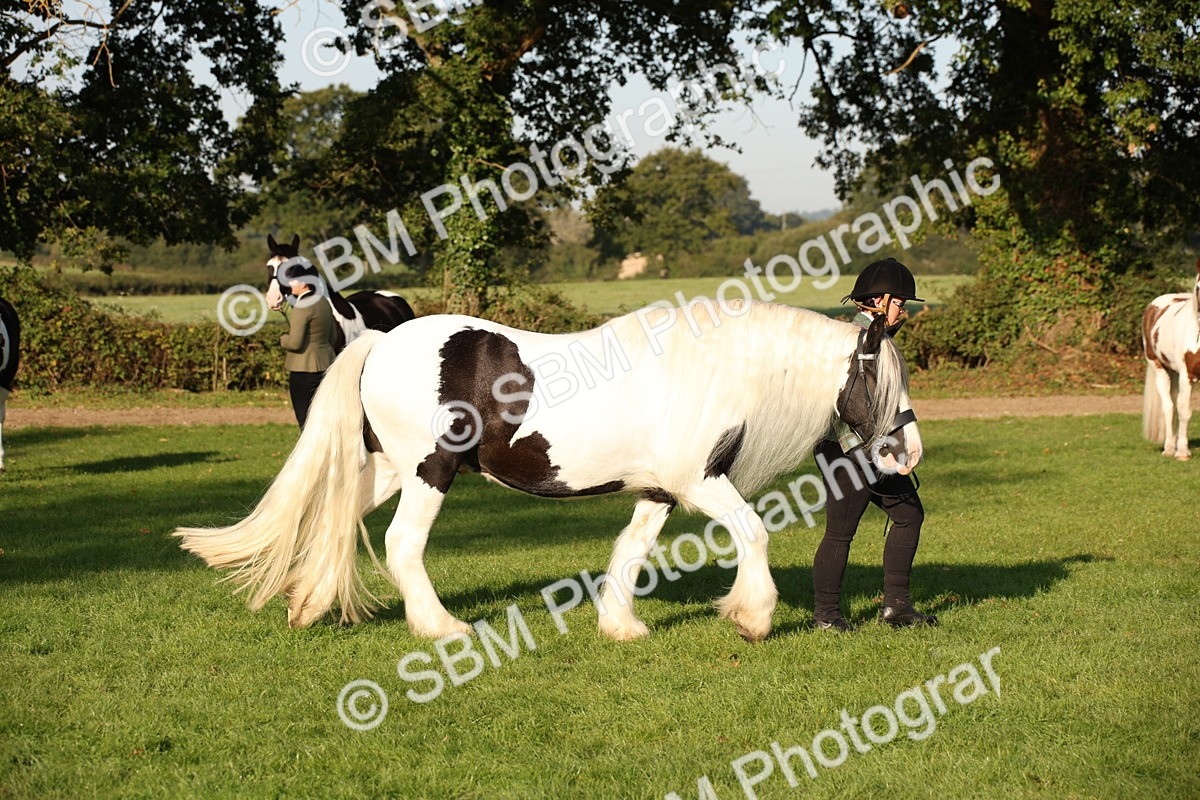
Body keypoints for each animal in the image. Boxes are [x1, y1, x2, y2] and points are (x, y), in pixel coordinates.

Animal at [175, 300, 922, 642]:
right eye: (880, 379)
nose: (906, 455)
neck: (711, 372)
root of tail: (382, 342)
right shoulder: (701, 483)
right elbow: (753, 533)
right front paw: (754, 617)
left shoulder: (659, 491)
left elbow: (630, 550)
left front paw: (621, 625)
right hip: (429, 469)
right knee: (401, 545)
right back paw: (441, 628)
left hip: (388, 469)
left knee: (333, 521)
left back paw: (307, 603)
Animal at [1143, 259, 1200, 460]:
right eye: (1199, 287)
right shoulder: (1187, 376)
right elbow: (1184, 411)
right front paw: (1182, 452)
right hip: (1161, 370)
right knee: (1169, 407)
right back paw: (1169, 448)